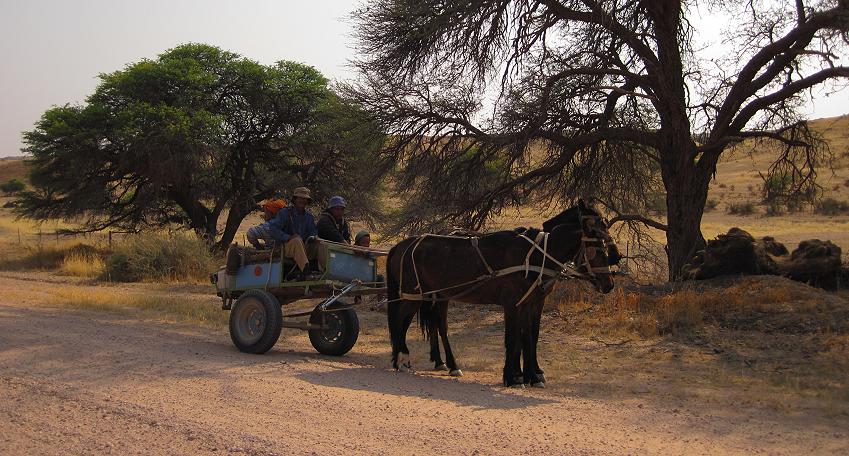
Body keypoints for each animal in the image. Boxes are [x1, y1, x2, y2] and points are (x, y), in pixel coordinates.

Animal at [384, 201, 616, 386]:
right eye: (597, 249)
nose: (609, 284)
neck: (536, 255)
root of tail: (401, 245)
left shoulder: (531, 302)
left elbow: (529, 336)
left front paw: (531, 374)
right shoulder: (513, 304)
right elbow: (513, 338)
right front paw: (514, 376)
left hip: (432, 296)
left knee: (424, 324)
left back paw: (430, 361)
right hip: (414, 295)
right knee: (400, 319)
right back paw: (402, 358)